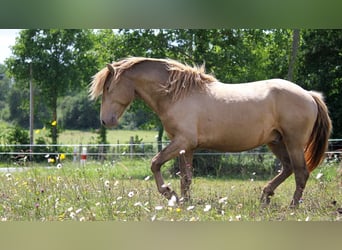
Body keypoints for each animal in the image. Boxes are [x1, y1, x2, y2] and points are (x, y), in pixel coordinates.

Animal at [89, 57, 332, 207]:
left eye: (108, 87)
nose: (105, 120)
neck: (176, 93)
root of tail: (309, 95)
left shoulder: (182, 142)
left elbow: (155, 163)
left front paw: (169, 193)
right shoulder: (185, 147)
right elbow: (186, 177)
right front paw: (184, 202)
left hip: (293, 142)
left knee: (301, 173)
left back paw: (292, 206)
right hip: (276, 141)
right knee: (289, 168)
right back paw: (265, 196)